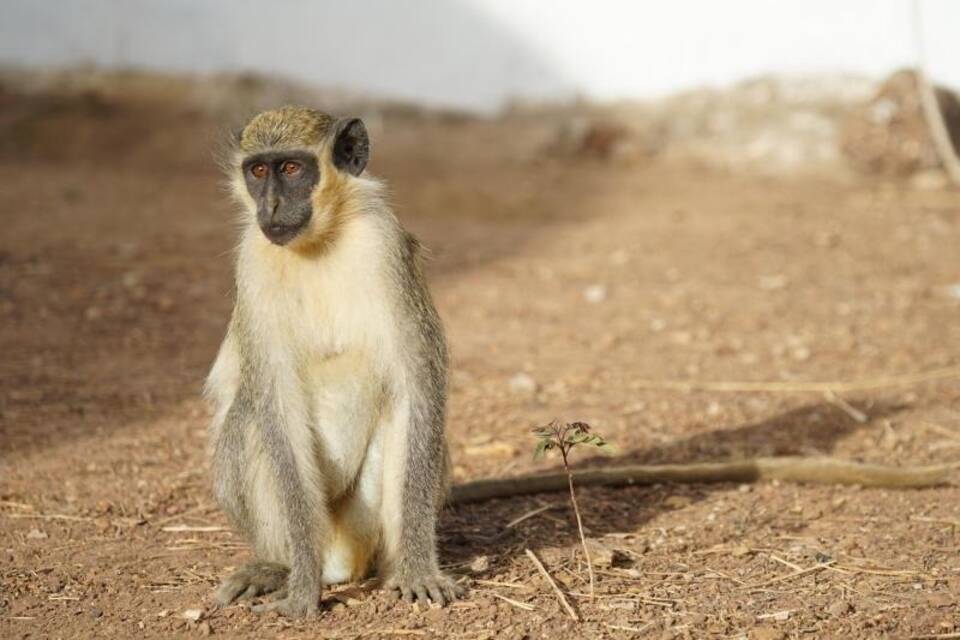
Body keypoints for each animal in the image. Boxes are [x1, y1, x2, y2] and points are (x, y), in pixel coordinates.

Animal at [205, 106, 458, 620]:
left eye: (291, 169)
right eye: (257, 171)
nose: (271, 206)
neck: (319, 242)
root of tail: (341, 559)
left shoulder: (385, 244)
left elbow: (417, 386)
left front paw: (419, 569)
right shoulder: (252, 260)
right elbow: (275, 405)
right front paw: (302, 586)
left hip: (359, 523)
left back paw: (398, 567)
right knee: (249, 419)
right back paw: (278, 567)